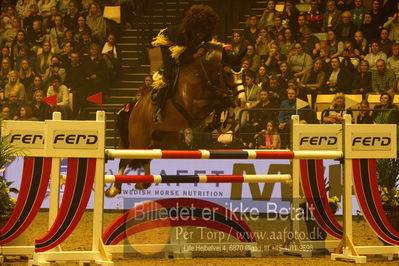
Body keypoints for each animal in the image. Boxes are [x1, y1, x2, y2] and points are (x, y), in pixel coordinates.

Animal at [104, 43, 239, 197]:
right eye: (228, 73)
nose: (240, 97)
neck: (200, 73)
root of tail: (134, 107)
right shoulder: (192, 108)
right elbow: (217, 101)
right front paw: (221, 118)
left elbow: (221, 101)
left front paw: (222, 120)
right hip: (139, 139)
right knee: (126, 157)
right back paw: (114, 189)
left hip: (162, 141)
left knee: (145, 157)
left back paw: (143, 183)